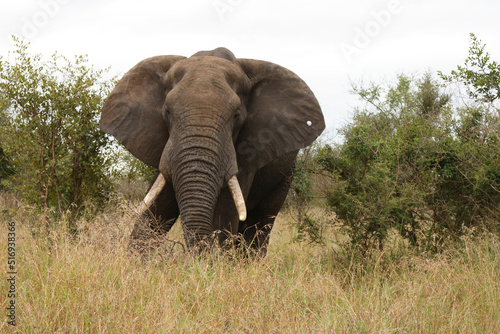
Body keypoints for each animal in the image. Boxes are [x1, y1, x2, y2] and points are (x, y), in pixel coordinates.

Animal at [100, 47, 326, 256]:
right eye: (167, 112)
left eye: (236, 115)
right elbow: (157, 208)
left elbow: (225, 213)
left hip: (285, 175)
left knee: (260, 224)